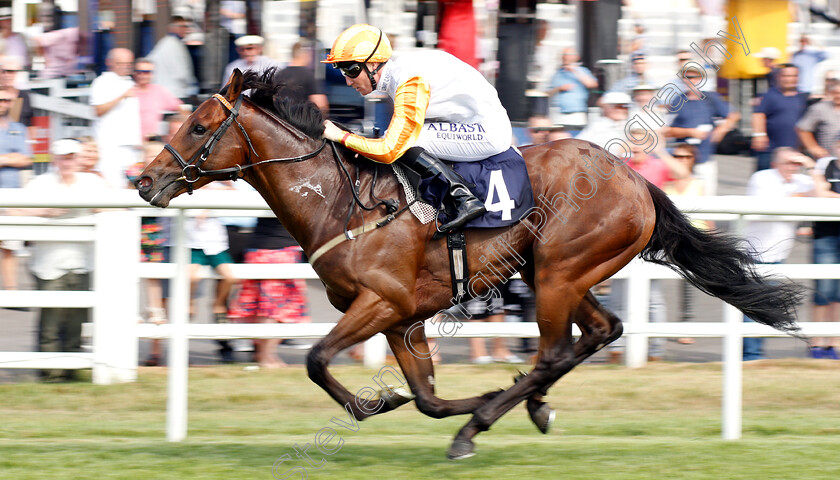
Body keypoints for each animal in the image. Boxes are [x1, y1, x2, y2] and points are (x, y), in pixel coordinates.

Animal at [136, 69, 800, 460]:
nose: (145, 181)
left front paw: (387, 406)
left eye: (199, 125)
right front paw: (446, 397)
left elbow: (318, 359)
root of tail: (635, 179)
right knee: (599, 332)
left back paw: (479, 424)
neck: (339, 201)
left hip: (558, 271)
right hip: (554, 271)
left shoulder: (381, 302)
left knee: (557, 350)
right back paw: (527, 405)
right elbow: (425, 394)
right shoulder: (402, 317)